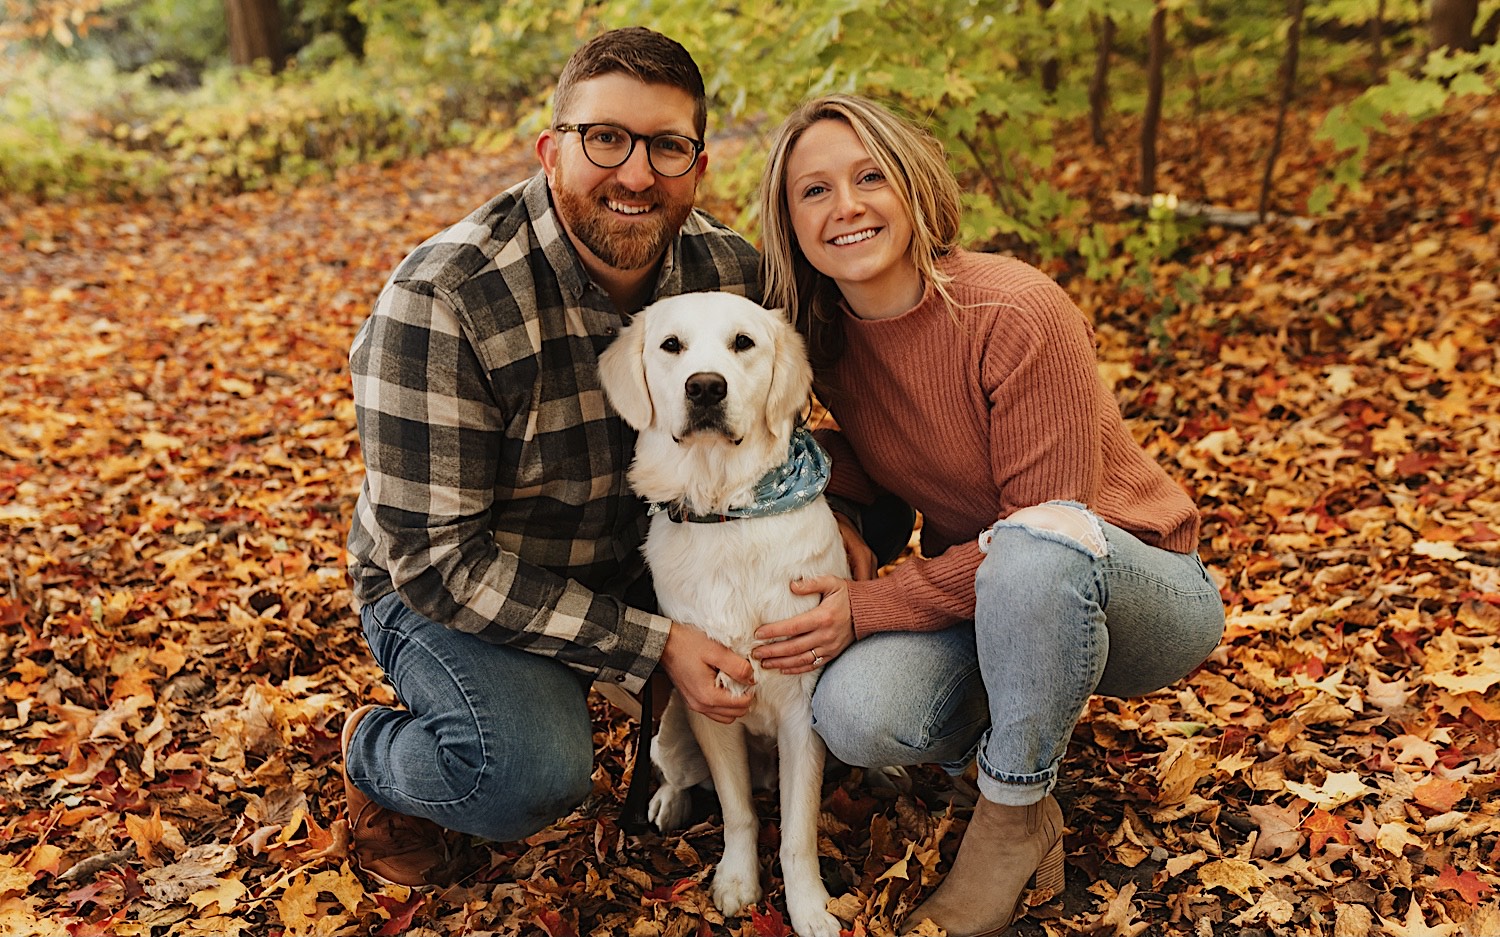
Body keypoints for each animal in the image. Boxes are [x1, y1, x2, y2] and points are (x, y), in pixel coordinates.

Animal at [600, 292, 858, 935]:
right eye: (671, 346)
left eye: (744, 342)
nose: (705, 387)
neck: (726, 512)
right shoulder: (712, 699)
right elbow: (739, 811)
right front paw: (737, 882)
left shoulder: (801, 709)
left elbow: (797, 831)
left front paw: (809, 907)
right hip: (671, 727)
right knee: (674, 772)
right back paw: (666, 803)